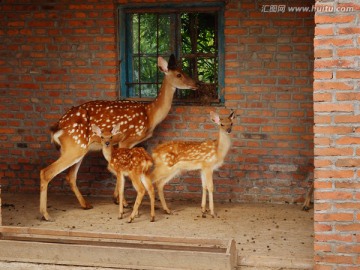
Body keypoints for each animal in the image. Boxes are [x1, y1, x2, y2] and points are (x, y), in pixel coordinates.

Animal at [40, 54, 198, 221]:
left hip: (78, 149)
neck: (150, 114)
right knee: (46, 172)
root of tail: (58, 126)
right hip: (74, 147)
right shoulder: (127, 139)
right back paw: (46, 214)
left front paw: (119, 201)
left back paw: (85, 205)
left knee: (70, 176)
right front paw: (122, 202)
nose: (196, 84)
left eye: (184, 70)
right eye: (179, 74)